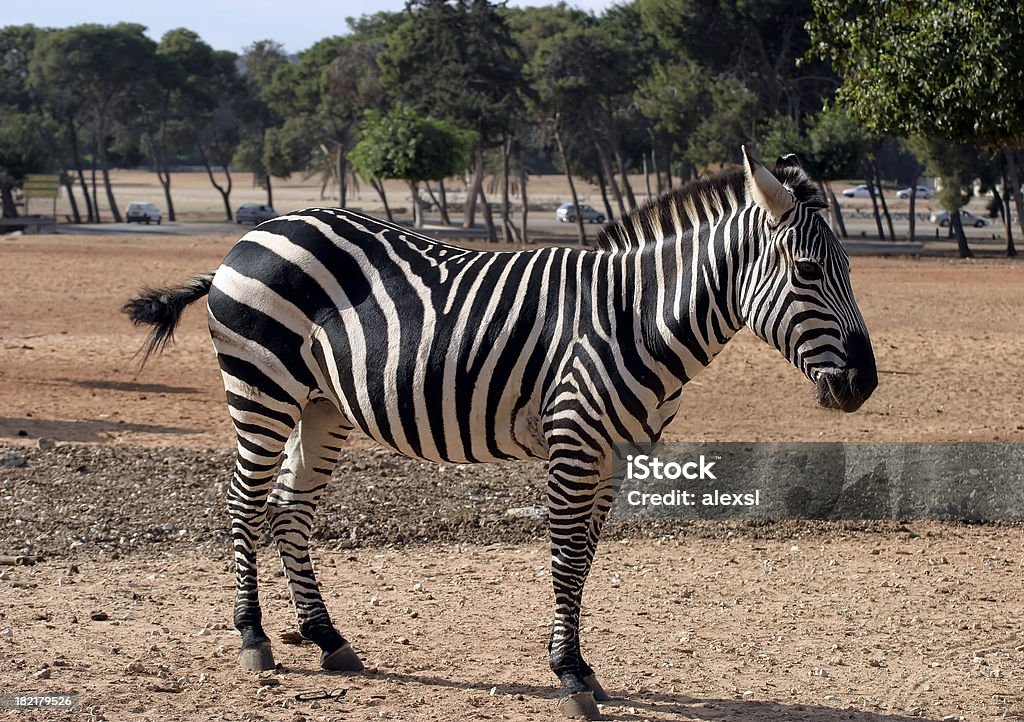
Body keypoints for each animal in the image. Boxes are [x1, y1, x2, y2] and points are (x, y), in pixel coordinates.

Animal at [125, 149, 880, 716]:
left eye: (850, 269)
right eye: (809, 271)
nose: (864, 384)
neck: (633, 315)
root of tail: (256, 232)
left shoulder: (613, 456)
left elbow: (586, 559)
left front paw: (581, 666)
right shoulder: (574, 442)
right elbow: (567, 557)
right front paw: (570, 676)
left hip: (322, 403)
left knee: (290, 507)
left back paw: (327, 637)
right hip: (261, 387)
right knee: (243, 500)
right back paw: (255, 637)